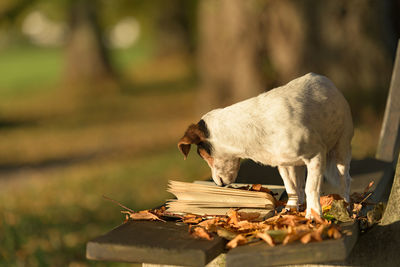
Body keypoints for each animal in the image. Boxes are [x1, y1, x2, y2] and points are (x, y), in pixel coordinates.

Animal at [178, 73, 354, 220]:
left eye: (202, 155)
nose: (218, 185)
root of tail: (328, 82)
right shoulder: (283, 165)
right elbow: (291, 188)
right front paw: (290, 209)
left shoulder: (316, 156)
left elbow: (311, 188)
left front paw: (314, 214)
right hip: (296, 164)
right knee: (299, 186)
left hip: (341, 148)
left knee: (344, 179)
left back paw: (345, 204)